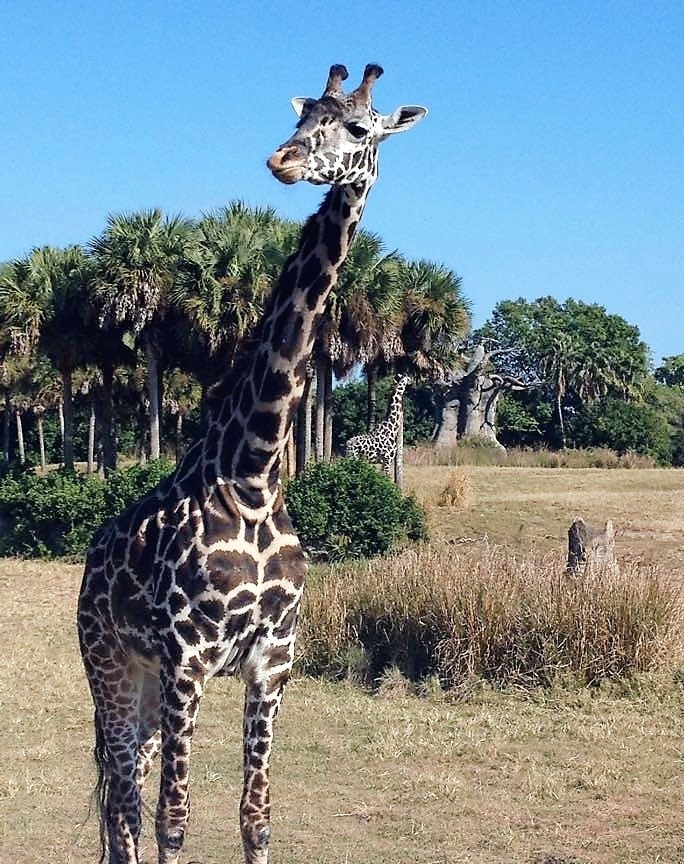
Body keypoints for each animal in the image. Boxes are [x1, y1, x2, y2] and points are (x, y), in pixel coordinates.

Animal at [76, 62, 428, 864]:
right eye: (302, 117)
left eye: (355, 127)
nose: (283, 160)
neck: (254, 473)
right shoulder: (186, 659)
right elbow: (175, 819)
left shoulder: (273, 659)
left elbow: (255, 815)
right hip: (111, 665)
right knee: (125, 800)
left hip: (145, 685)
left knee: (123, 796)